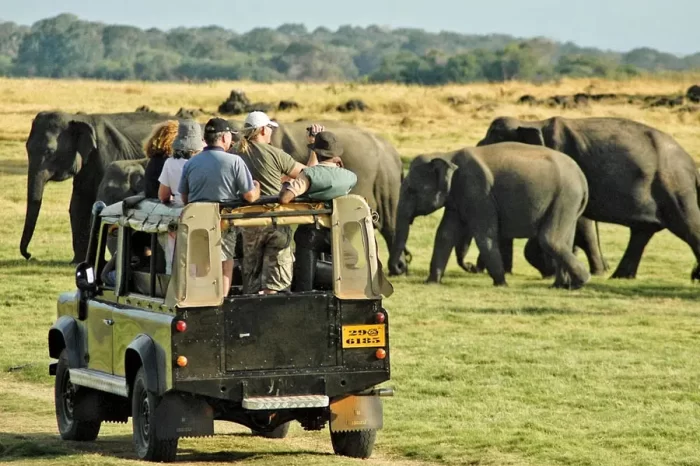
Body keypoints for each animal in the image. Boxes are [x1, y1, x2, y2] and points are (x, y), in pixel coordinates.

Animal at [20, 109, 174, 262]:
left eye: (49, 152)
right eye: (27, 148)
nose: (29, 256)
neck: (79, 118)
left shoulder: (108, 154)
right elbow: (78, 204)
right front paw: (78, 261)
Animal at [388, 142, 592, 288]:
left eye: (411, 190)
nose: (401, 267)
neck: (448, 155)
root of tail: (582, 178)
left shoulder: (478, 192)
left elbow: (484, 235)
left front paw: (501, 284)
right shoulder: (457, 198)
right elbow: (444, 235)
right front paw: (431, 282)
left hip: (565, 197)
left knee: (550, 239)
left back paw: (582, 280)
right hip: (569, 203)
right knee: (565, 240)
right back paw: (562, 285)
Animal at [478, 116, 700, 280]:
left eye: (493, 141)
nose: (474, 268)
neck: (533, 122)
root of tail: (691, 163)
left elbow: (580, 223)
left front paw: (553, 270)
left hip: (674, 187)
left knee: (687, 226)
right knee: (642, 232)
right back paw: (620, 276)